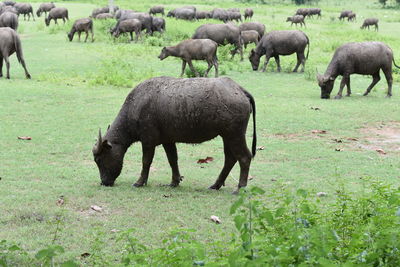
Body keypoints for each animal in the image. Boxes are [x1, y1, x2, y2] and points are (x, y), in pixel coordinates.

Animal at [92, 76, 256, 194]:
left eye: (99, 160)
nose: (104, 182)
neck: (136, 106)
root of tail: (239, 89)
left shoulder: (148, 141)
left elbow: (146, 161)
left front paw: (140, 182)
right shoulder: (168, 141)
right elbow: (172, 160)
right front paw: (174, 181)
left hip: (235, 135)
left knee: (244, 157)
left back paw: (240, 188)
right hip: (227, 136)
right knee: (230, 159)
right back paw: (216, 185)